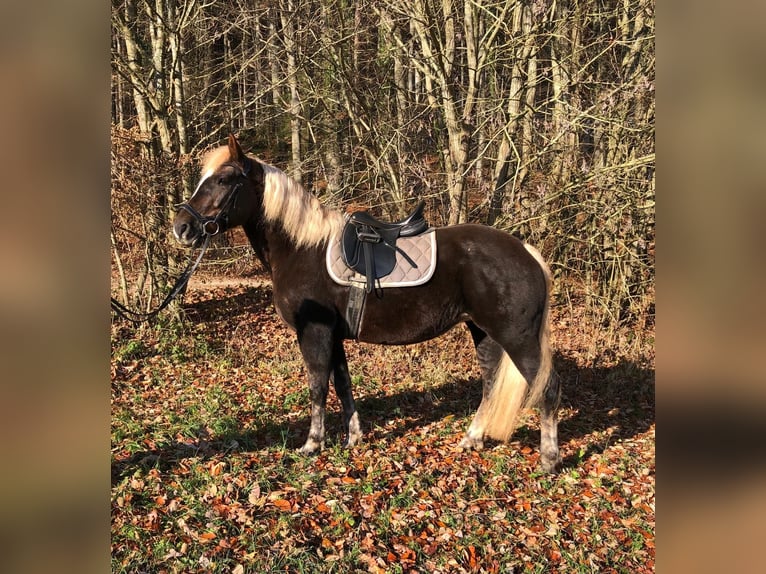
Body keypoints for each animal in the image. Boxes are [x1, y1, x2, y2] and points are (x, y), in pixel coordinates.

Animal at [173, 135, 562, 472]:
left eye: (224, 179)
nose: (182, 227)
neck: (302, 247)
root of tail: (525, 252)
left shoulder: (314, 333)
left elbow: (318, 386)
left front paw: (312, 444)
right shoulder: (333, 336)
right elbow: (343, 384)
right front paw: (354, 437)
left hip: (517, 337)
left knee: (548, 388)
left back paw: (549, 459)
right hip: (483, 331)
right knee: (491, 381)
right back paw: (472, 439)